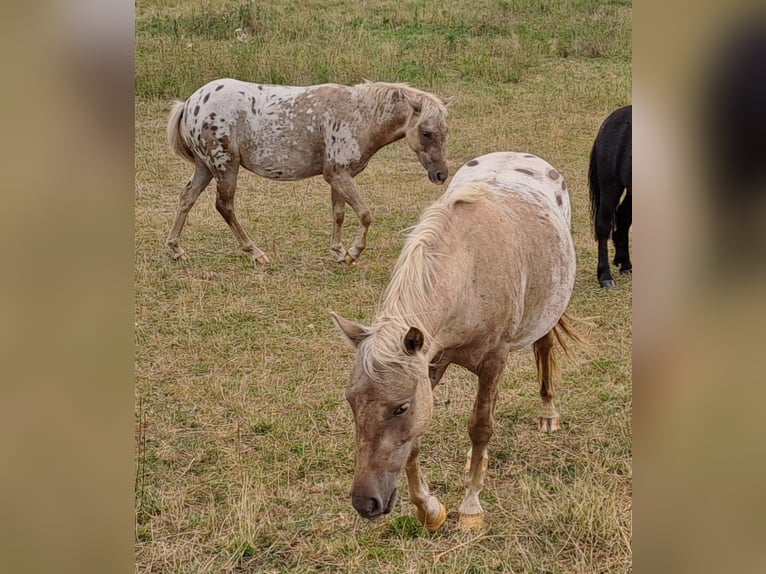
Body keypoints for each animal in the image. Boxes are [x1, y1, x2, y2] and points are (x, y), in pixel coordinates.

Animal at [165, 79, 451, 266]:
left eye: (445, 131)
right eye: (426, 132)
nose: (441, 175)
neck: (358, 116)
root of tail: (190, 102)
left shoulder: (339, 178)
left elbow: (339, 214)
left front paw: (339, 252)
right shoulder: (339, 175)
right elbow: (365, 214)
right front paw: (353, 253)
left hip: (205, 167)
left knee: (187, 199)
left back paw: (176, 249)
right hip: (225, 166)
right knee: (224, 206)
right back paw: (256, 252)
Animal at [331, 151, 578, 531]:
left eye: (400, 407)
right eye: (351, 402)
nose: (365, 503)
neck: (468, 270)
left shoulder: (493, 360)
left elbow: (480, 427)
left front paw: (471, 506)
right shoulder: (429, 363)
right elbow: (416, 443)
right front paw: (429, 509)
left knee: (545, 351)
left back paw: (548, 413)